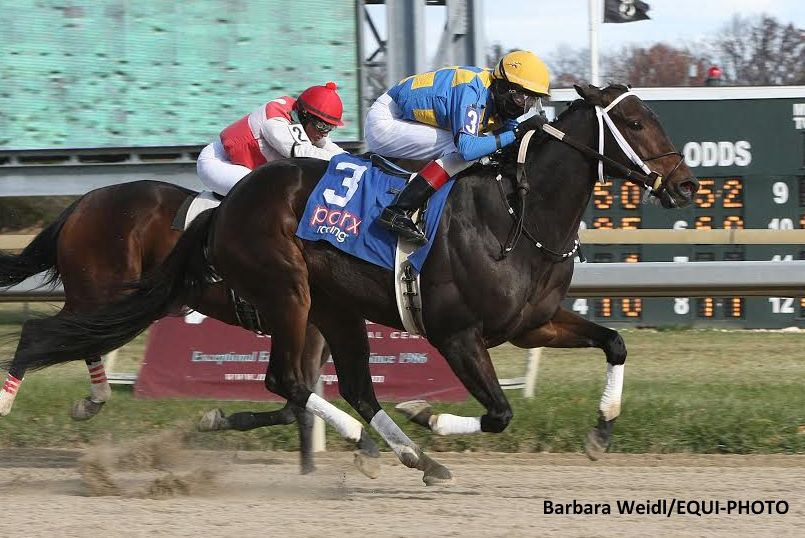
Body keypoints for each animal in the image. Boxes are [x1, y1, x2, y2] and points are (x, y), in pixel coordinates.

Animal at [0, 180, 332, 474]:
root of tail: (82, 203)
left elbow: (295, 403)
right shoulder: (304, 326)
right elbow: (296, 400)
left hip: (111, 300)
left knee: (77, 338)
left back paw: (93, 400)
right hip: (104, 295)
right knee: (40, 332)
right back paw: (6, 402)